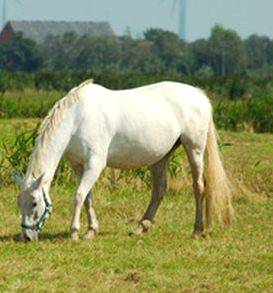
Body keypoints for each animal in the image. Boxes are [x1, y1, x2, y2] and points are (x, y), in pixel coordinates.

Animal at [13, 79, 233, 240]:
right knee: (159, 190)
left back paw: (197, 230)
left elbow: (78, 196)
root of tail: (199, 95)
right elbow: (87, 198)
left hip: (194, 149)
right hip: (161, 157)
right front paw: (91, 230)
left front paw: (74, 232)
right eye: (19, 202)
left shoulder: (95, 165)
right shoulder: (79, 166)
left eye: (34, 203)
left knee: (199, 187)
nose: (27, 237)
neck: (77, 119)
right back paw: (142, 226)